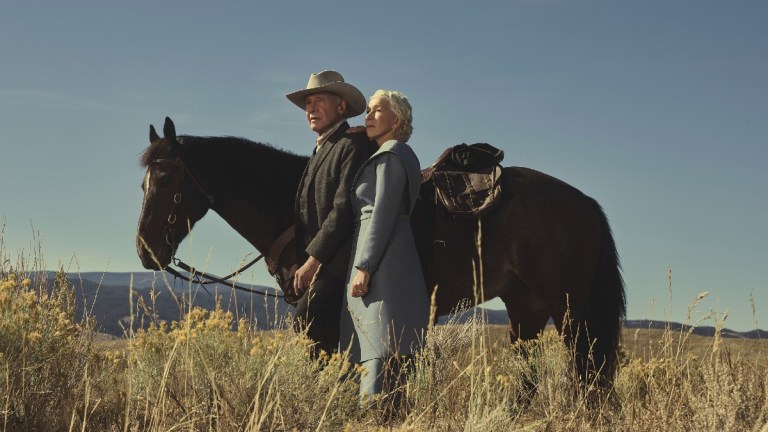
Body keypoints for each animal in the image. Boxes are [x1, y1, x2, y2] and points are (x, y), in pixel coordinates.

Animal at [136, 115, 624, 384]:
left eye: (165, 177)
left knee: (585, 371)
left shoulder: (321, 307)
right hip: (526, 309)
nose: (144, 250)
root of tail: (585, 203)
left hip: (569, 310)